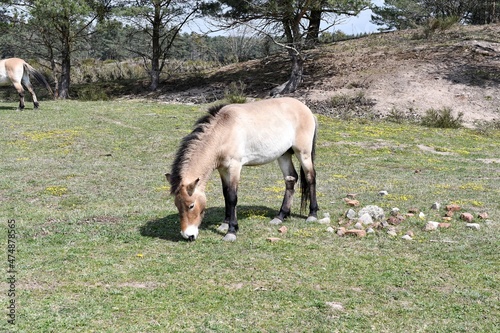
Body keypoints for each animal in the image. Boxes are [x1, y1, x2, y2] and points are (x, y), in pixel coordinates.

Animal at [166, 96, 318, 241]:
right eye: (177, 205)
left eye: (191, 205)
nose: (188, 235)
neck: (224, 131)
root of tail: (306, 109)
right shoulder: (223, 169)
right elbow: (226, 194)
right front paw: (225, 224)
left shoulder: (235, 167)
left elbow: (232, 196)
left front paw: (231, 231)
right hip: (284, 155)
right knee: (291, 179)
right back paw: (281, 216)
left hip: (303, 153)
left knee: (310, 177)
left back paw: (312, 214)